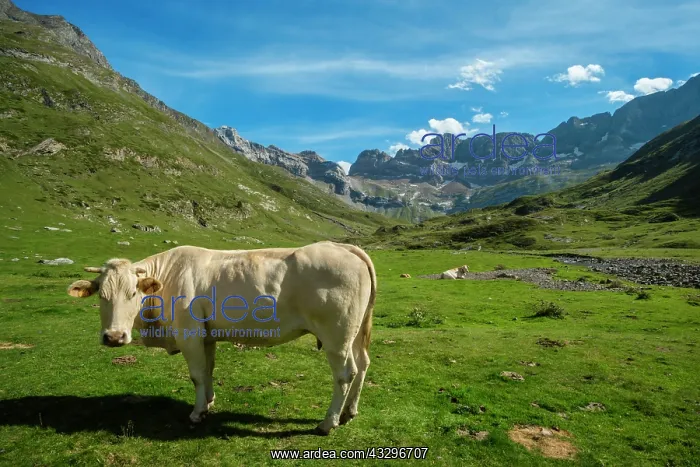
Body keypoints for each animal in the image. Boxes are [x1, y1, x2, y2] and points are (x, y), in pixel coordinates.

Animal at [66, 241, 376, 435]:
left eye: (132, 293)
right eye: (102, 295)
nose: (114, 336)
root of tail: (342, 246)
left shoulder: (188, 332)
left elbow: (196, 374)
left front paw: (197, 413)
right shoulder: (207, 334)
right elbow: (208, 370)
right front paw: (209, 402)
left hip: (337, 335)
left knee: (345, 374)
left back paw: (328, 423)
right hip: (355, 333)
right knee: (362, 365)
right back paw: (349, 413)